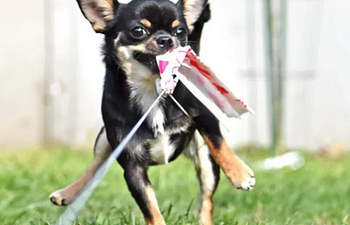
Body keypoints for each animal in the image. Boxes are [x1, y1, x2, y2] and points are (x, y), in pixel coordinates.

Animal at [50, 0, 254, 224]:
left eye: (180, 31)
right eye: (138, 31)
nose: (167, 39)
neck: (152, 87)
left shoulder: (204, 115)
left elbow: (218, 143)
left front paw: (240, 173)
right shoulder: (133, 167)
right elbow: (151, 209)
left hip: (206, 162)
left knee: (207, 202)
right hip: (104, 138)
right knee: (95, 167)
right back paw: (68, 193)